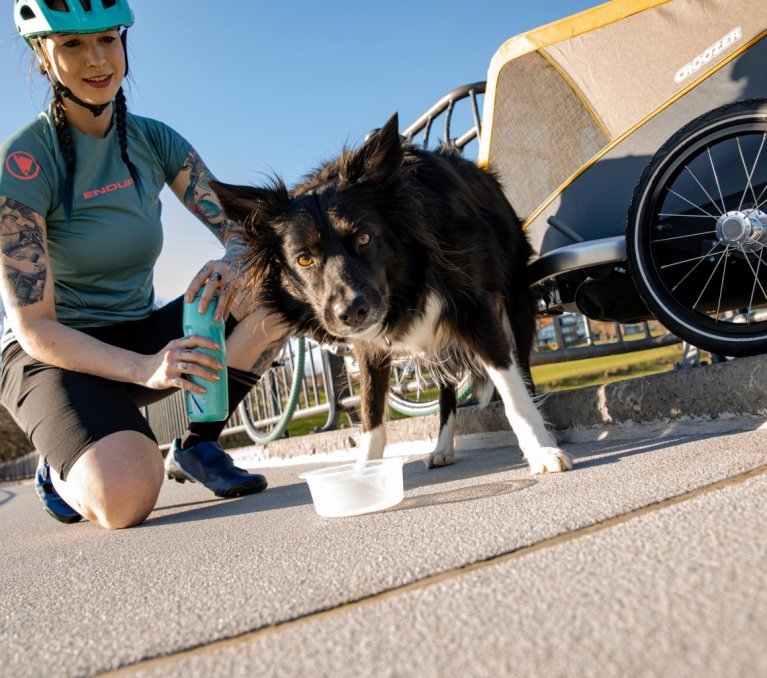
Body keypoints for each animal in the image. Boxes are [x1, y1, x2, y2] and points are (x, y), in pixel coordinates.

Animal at [213, 114, 572, 476]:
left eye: (364, 238)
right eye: (303, 259)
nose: (351, 312)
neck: (409, 277)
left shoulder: (475, 308)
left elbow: (512, 390)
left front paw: (540, 450)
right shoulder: (368, 346)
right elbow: (371, 413)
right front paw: (364, 474)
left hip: (516, 303)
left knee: (522, 371)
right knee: (446, 392)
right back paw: (442, 448)